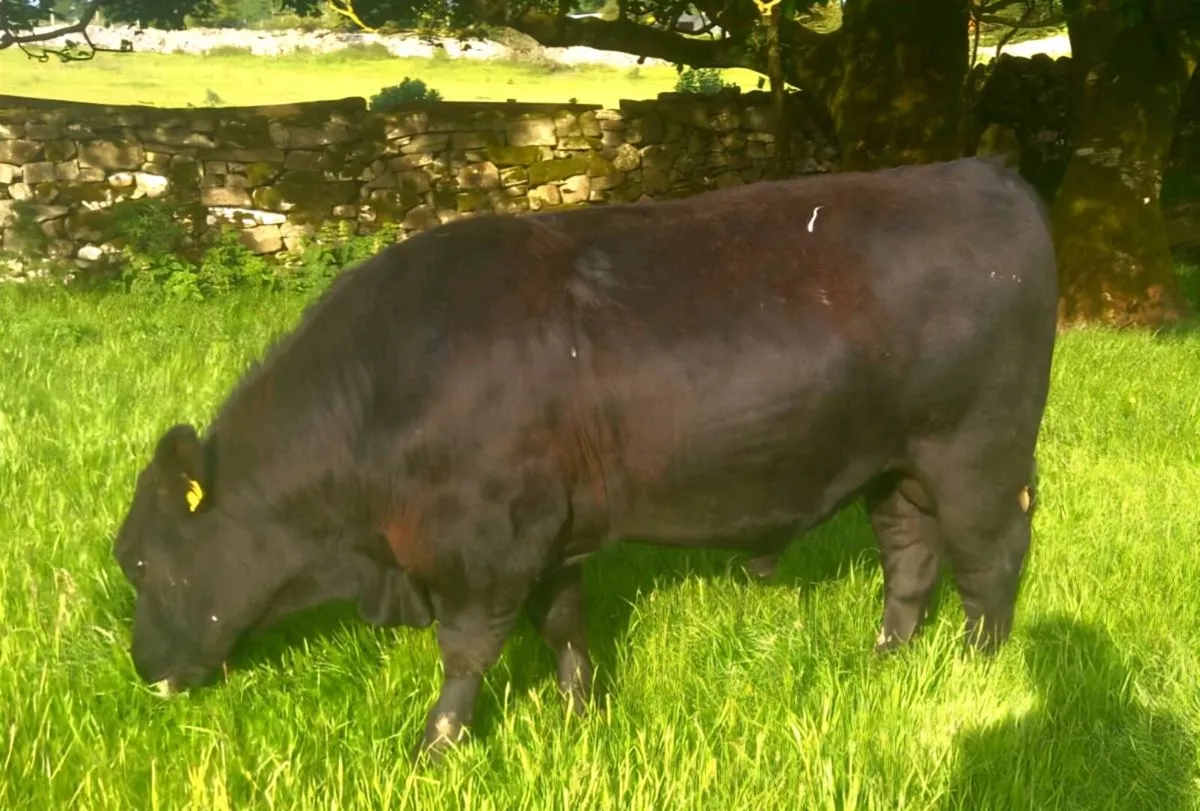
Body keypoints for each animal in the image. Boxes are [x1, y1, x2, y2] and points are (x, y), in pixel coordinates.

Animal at [113, 156, 1058, 758]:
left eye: (140, 560)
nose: (143, 668)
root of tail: (984, 173)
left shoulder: (485, 547)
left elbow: (467, 654)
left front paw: (431, 751)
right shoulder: (546, 532)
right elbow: (564, 624)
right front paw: (582, 714)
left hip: (979, 453)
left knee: (990, 562)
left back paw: (974, 672)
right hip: (895, 463)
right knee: (911, 554)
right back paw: (885, 658)